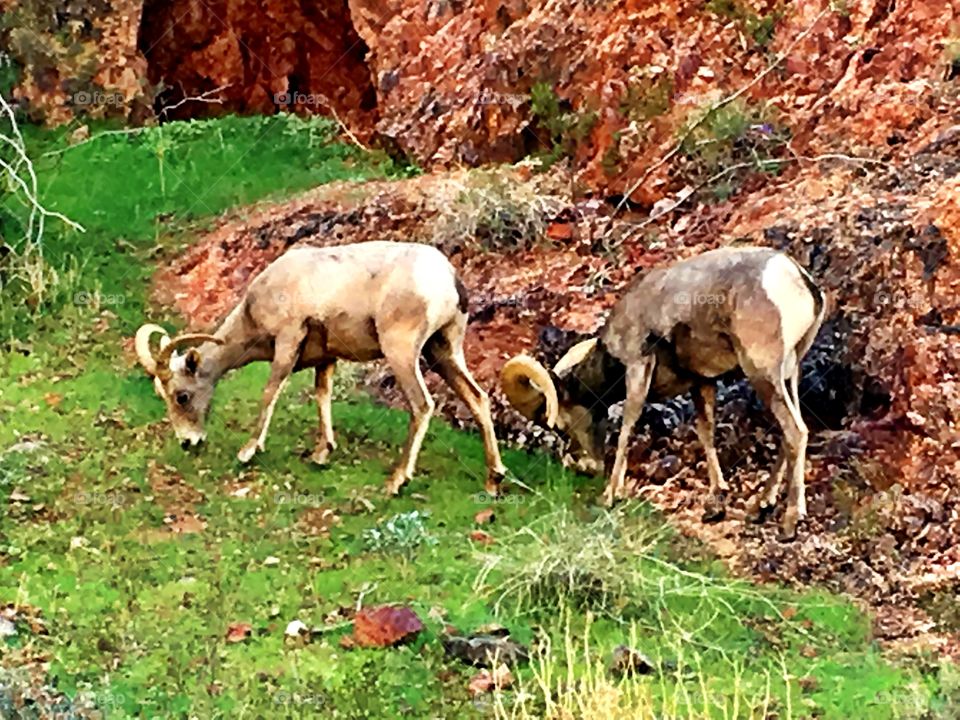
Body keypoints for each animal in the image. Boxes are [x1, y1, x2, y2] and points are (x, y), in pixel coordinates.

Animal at [140, 240, 510, 496]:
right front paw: (322, 453)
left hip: (403, 352)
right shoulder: (326, 358)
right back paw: (493, 480)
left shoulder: (288, 339)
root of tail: (447, 277)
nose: (188, 442)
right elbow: (322, 394)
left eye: (182, 396)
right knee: (478, 398)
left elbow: (270, 391)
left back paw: (396, 481)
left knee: (422, 405)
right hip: (443, 350)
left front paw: (248, 451)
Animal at [502, 245, 824, 536]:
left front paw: (610, 496)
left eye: (561, 426)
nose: (584, 467)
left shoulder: (637, 368)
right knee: (789, 434)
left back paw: (790, 522)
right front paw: (715, 503)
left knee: (795, 432)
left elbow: (627, 429)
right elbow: (706, 433)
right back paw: (761, 507)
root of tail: (795, 277)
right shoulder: (702, 383)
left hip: (762, 373)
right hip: (788, 373)